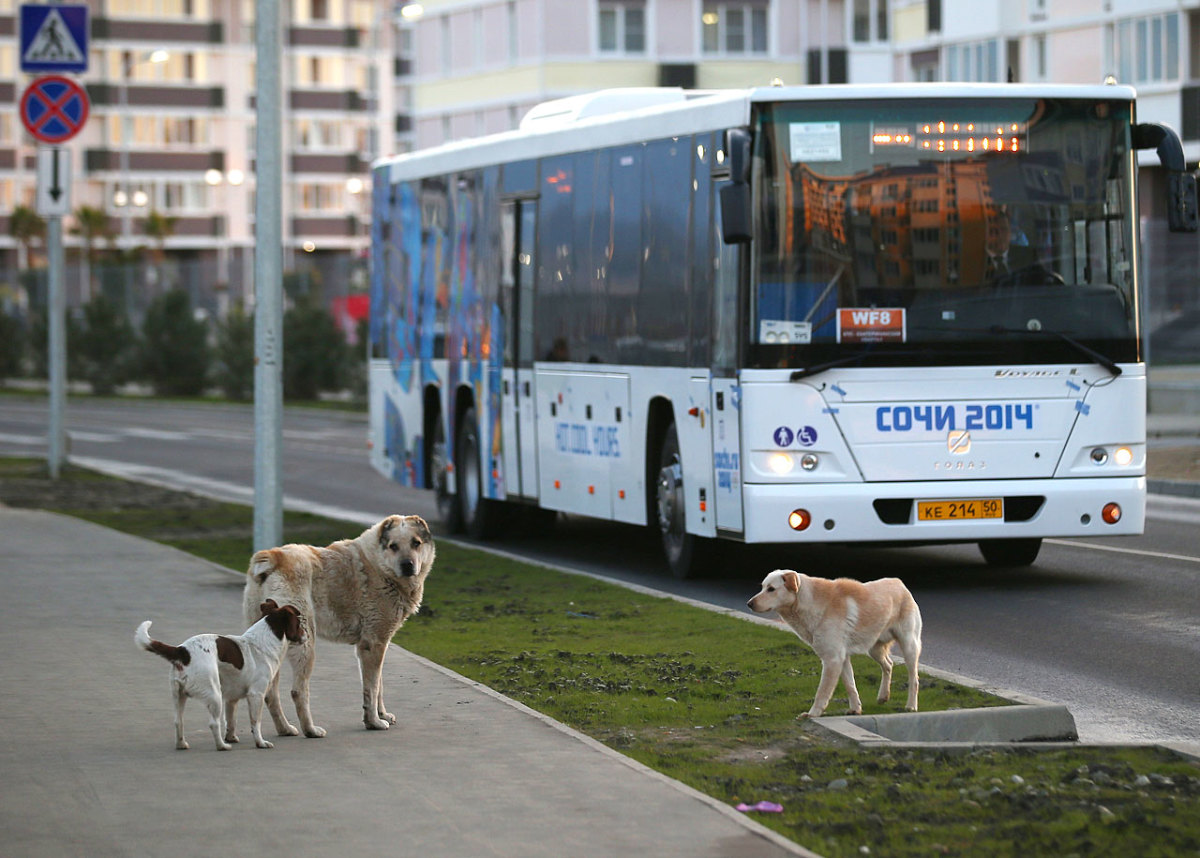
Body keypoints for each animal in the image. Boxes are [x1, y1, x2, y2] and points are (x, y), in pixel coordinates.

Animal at [135, 600, 304, 748]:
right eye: (299, 624)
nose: (306, 635)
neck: (264, 642)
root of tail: (181, 651)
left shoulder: (231, 699)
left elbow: (231, 720)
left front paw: (232, 737)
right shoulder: (256, 695)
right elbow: (255, 723)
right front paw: (260, 743)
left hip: (179, 695)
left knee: (178, 721)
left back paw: (182, 745)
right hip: (215, 695)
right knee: (213, 723)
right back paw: (222, 746)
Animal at [241, 516, 434, 739]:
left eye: (416, 543)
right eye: (393, 546)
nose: (407, 565)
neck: (378, 565)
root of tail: (272, 557)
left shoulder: (369, 646)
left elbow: (378, 685)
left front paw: (381, 715)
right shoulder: (375, 644)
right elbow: (372, 687)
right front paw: (374, 722)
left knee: (270, 693)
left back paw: (285, 729)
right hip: (304, 642)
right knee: (298, 691)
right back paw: (311, 730)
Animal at [744, 573, 921, 720]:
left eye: (771, 589)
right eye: (762, 587)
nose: (749, 604)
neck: (809, 602)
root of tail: (899, 583)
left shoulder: (832, 659)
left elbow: (822, 692)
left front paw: (812, 714)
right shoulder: (842, 658)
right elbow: (850, 686)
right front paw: (855, 709)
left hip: (909, 646)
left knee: (914, 679)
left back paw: (911, 706)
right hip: (874, 649)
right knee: (888, 665)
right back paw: (883, 696)